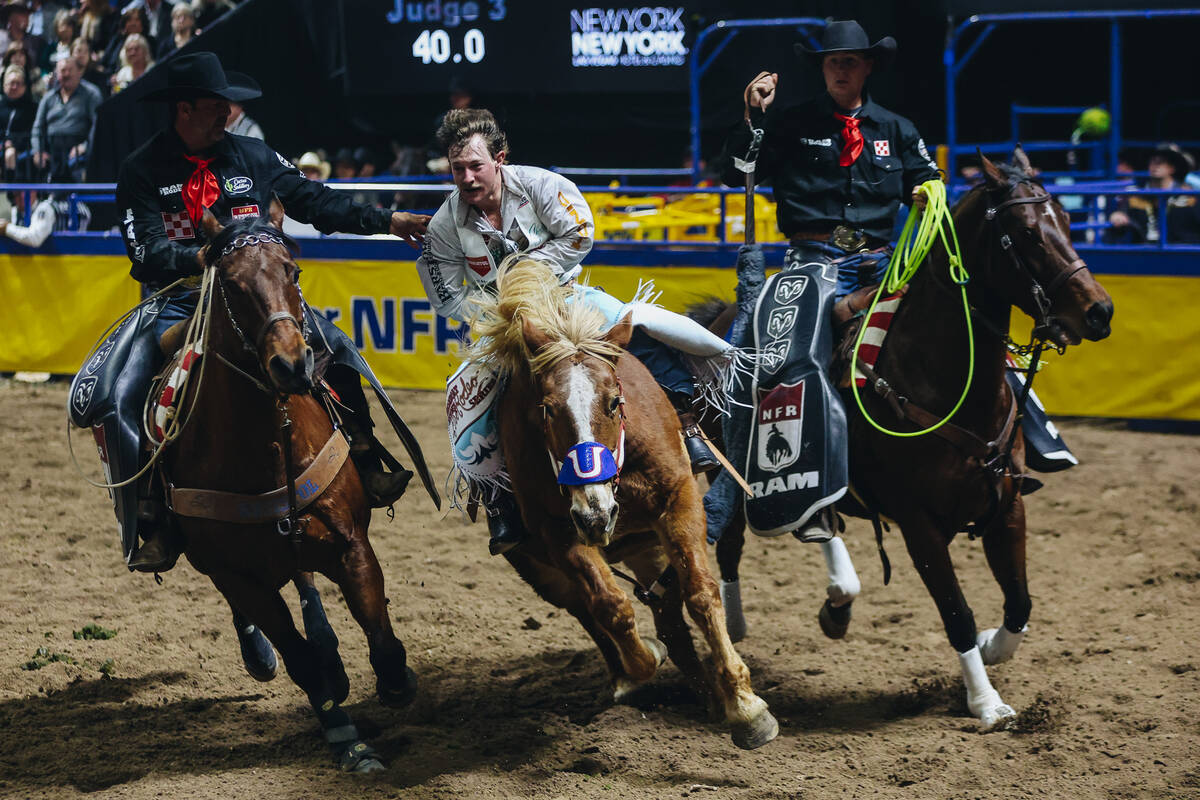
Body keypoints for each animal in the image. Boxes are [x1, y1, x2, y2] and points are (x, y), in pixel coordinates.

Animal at [160, 206, 417, 767]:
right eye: (232, 286)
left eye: (293, 271)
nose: (292, 365)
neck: (266, 449)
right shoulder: (238, 577)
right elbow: (299, 661)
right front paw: (346, 736)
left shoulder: (350, 542)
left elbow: (380, 634)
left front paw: (396, 681)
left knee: (306, 584)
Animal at [468, 256, 777, 753]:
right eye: (546, 409)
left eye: (615, 401)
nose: (597, 513)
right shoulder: (558, 533)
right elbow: (610, 606)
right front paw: (644, 661)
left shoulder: (679, 500)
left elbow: (701, 593)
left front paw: (747, 707)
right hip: (540, 566)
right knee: (589, 610)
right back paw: (633, 679)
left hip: (648, 546)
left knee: (670, 615)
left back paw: (711, 698)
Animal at [700, 151, 1113, 734]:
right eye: (1027, 233)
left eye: (1071, 223)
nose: (1099, 312)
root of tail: (721, 317)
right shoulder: (921, 526)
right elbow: (956, 612)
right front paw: (986, 703)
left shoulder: (1007, 506)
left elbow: (1019, 603)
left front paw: (992, 648)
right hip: (731, 467)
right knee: (733, 540)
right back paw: (736, 625)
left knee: (819, 520)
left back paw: (837, 598)